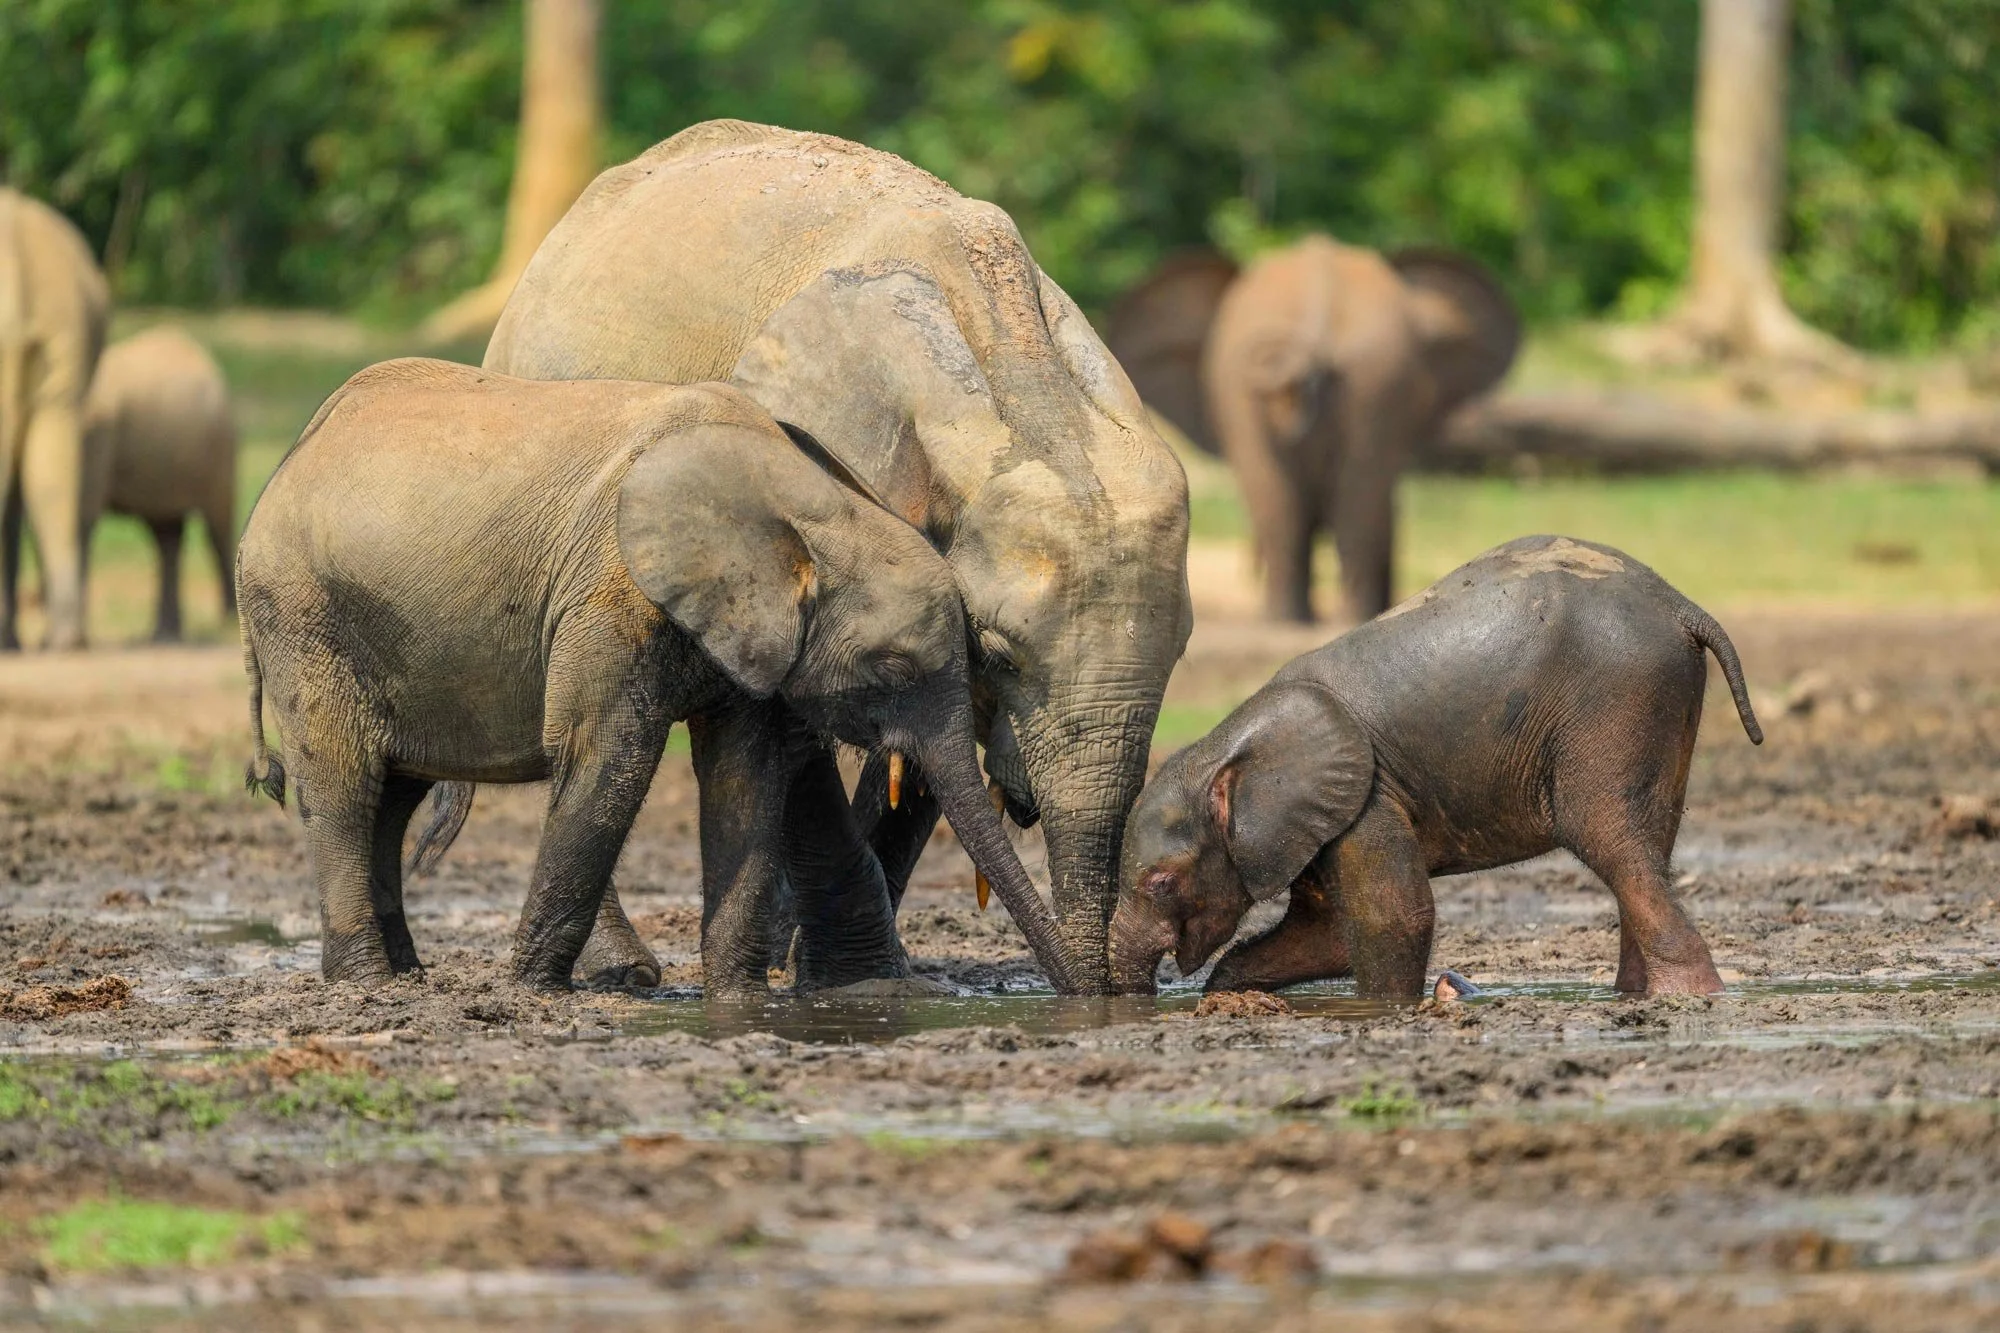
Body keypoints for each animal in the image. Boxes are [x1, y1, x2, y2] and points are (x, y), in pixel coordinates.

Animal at [82, 326, 238, 642]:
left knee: (217, 528)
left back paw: (226, 623)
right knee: (167, 535)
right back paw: (163, 633)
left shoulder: (95, 433)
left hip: (219, 449)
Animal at [237, 359, 1071, 994]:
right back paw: (367, 983)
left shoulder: (749, 636)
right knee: (345, 786)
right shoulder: (612, 592)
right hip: (303, 613)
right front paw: (533, 991)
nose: (1080, 990)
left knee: (394, 794)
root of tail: (291, 459)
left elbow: (743, 778)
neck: (808, 500)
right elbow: (610, 758)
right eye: (890, 665)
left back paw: (406, 976)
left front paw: (736, 999)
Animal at [480, 120, 1193, 994]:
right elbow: (798, 728)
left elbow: (917, 759)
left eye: (1180, 653)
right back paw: (627, 974)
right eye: (1001, 653)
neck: (1021, 376)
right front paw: (855, 979)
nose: (1108, 993)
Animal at [1109, 535, 1764, 999]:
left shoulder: (1368, 799)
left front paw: (1386, 1010)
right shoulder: (1328, 822)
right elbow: (1324, 935)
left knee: (1613, 842)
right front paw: (1226, 993)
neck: (1226, 745)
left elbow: (1392, 919)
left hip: (1614, 702)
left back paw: (1689, 998)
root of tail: (1681, 606)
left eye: (1161, 883)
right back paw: (1636, 994)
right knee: (1648, 849)